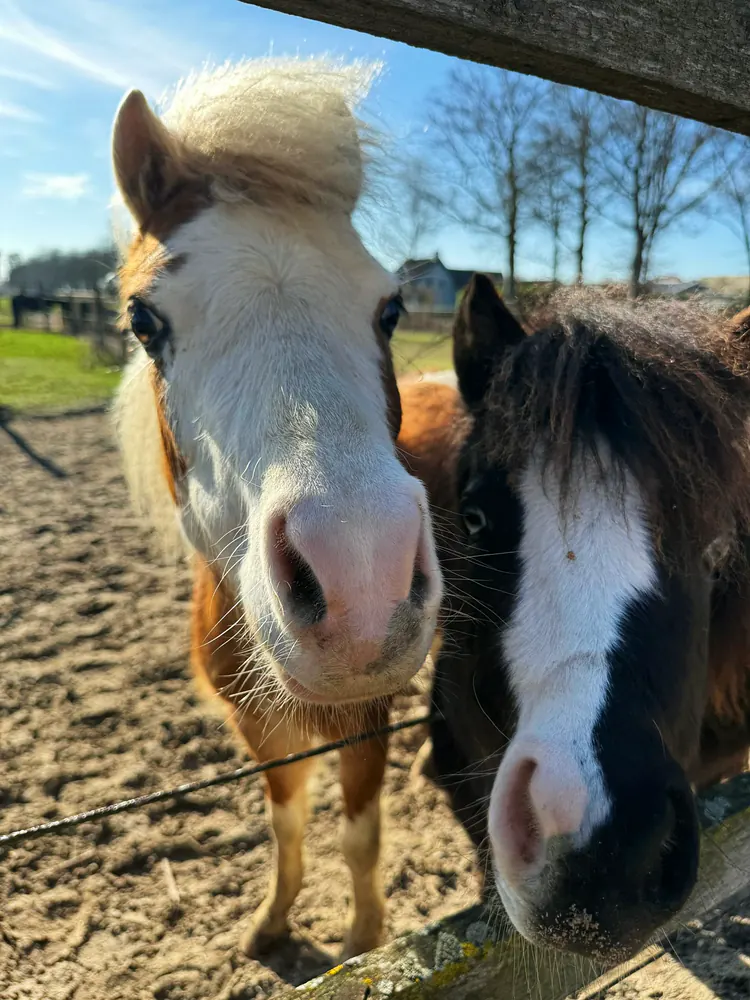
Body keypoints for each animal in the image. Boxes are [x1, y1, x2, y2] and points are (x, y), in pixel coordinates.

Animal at [111, 58, 443, 959]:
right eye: (143, 321)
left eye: (390, 308)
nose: (362, 577)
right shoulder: (259, 732)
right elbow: (286, 824)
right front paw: (271, 923)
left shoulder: (366, 722)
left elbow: (360, 836)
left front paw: (364, 939)